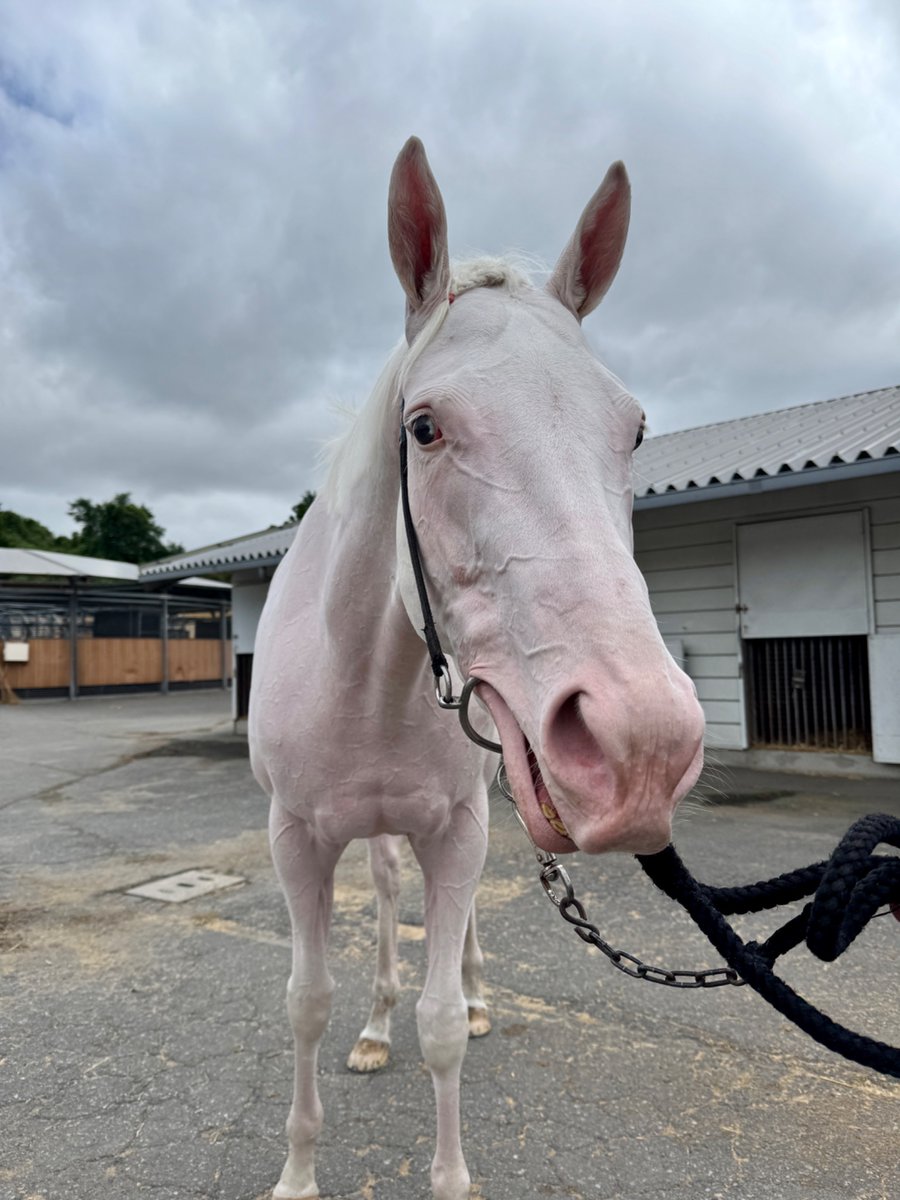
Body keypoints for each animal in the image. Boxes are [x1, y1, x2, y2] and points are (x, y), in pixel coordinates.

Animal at [248, 136, 706, 1200]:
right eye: (424, 427)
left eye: (633, 429)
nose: (645, 747)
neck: (366, 678)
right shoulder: (296, 839)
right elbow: (305, 999)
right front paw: (299, 1168)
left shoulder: (459, 830)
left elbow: (445, 1019)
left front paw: (452, 1161)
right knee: (382, 904)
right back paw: (375, 1027)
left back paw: (478, 991)